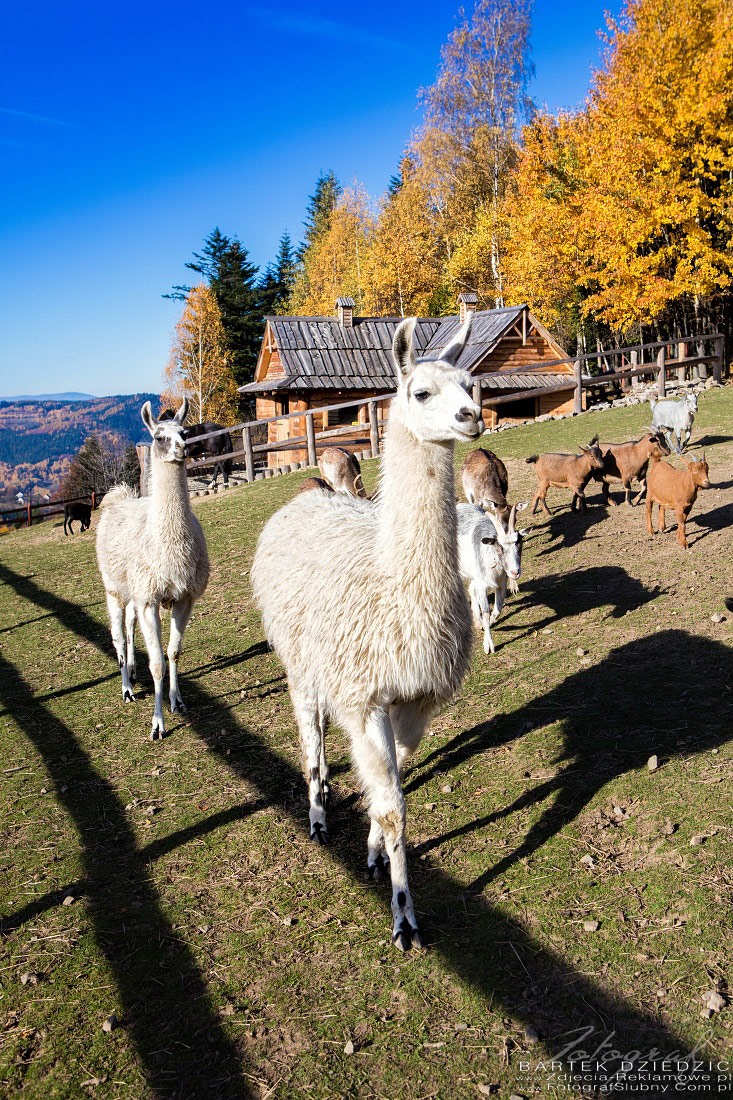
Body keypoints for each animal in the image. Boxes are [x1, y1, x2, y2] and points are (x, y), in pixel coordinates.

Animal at [94, 402, 208, 739]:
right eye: (159, 437)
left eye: (184, 432)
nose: (182, 449)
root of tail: (119, 497)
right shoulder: (150, 600)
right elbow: (156, 663)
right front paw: (157, 724)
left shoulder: (184, 597)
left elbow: (173, 652)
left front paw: (177, 701)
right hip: (114, 587)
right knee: (118, 636)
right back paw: (127, 688)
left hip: (135, 589)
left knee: (130, 627)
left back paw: (131, 670)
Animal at [250, 316, 479, 946]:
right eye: (420, 392)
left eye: (469, 382)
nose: (471, 416)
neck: (396, 591)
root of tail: (305, 499)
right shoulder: (366, 695)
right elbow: (393, 805)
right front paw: (404, 919)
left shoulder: (415, 701)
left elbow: (388, 789)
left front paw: (376, 853)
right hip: (299, 659)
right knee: (310, 735)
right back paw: (317, 815)